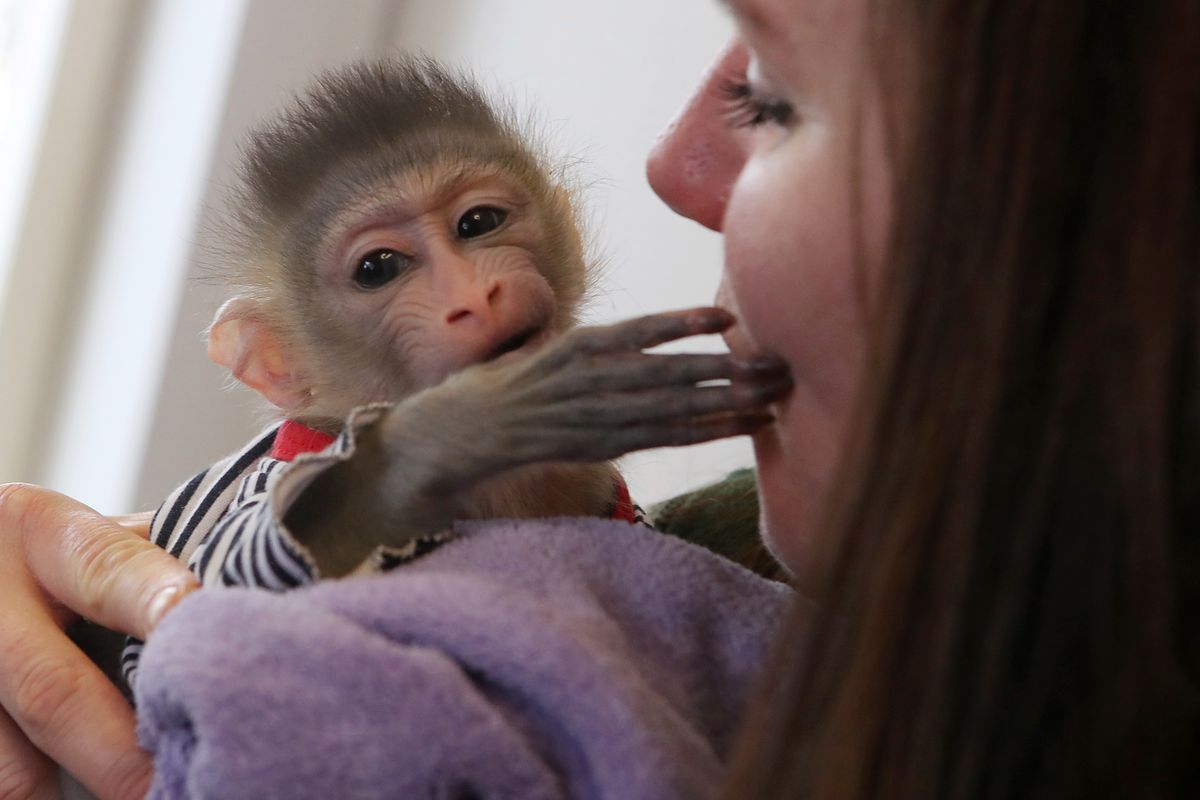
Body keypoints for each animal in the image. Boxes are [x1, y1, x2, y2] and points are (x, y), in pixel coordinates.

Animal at [145, 56, 792, 592]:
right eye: (378, 268)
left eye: (478, 222)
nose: (475, 296)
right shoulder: (276, 468)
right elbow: (231, 573)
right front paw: (476, 420)